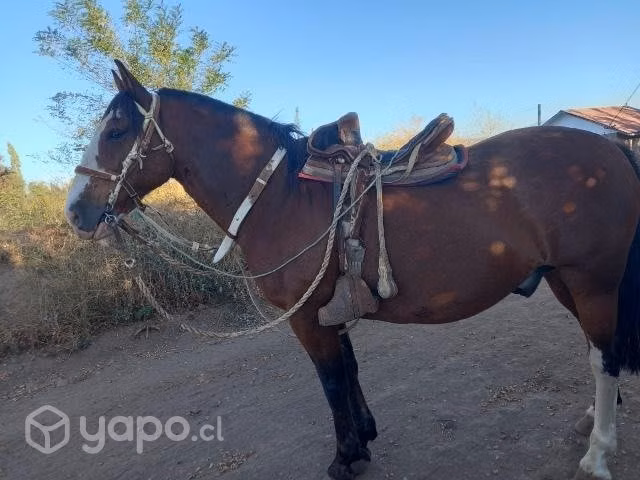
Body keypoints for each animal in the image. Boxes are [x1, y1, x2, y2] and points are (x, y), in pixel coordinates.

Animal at [64, 60, 640, 480]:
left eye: (117, 130)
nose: (75, 212)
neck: (278, 196)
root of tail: (610, 146)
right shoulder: (329, 309)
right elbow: (350, 369)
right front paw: (363, 437)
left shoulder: (306, 317)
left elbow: (332, 381)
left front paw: (345, 459)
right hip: (565, 279)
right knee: (599, 353)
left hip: (592, 280)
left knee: (604, 358)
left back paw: (597, 454)